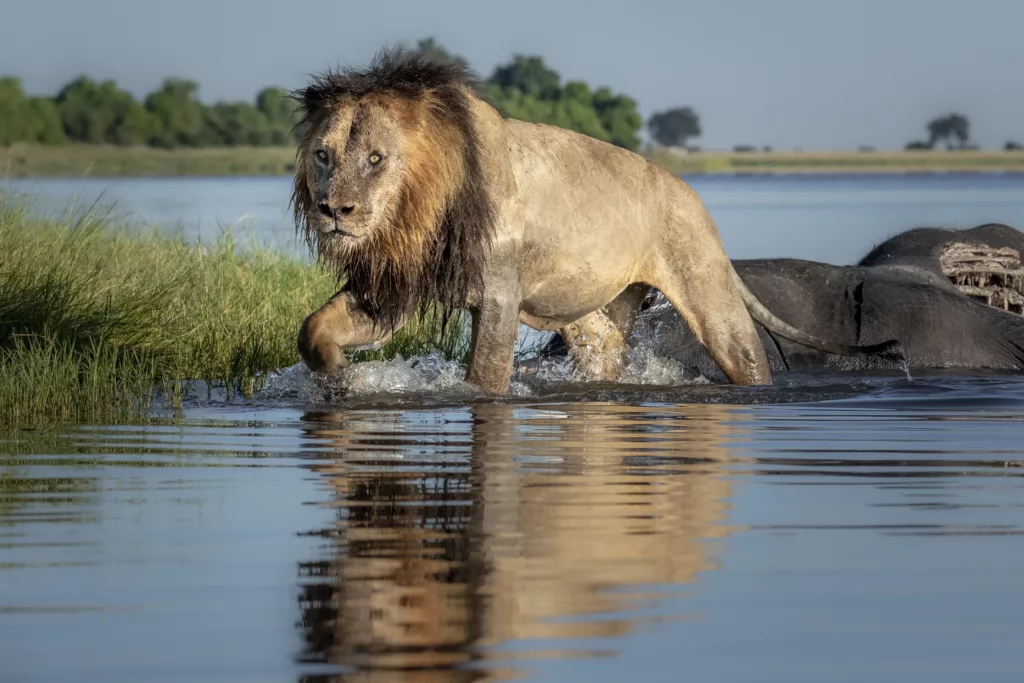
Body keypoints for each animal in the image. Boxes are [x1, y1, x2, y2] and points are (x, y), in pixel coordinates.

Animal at [290, 52, 897, 395]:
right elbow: (313, 328)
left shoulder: (499, 294)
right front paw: (342, 379)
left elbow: (484, 377)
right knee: (604, 349)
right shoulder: (396, 287)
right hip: (592, 312)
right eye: (323, 156)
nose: (334, 211)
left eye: (376, 159)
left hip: (712, 298)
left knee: (746, 357)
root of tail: (692, 194)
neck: (415, 216)